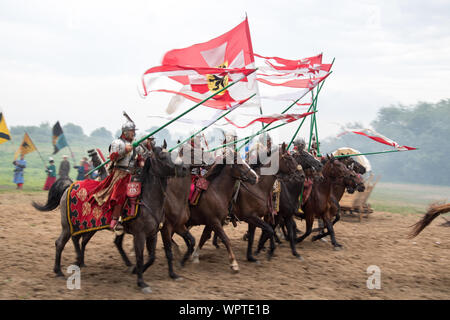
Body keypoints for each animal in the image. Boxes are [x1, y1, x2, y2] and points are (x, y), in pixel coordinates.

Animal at [31, 141, 186, 292]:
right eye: (162, 156)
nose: (184, 168)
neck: (147, 198)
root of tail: (69, 187)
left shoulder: (152, 234)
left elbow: (152, 258)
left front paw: (136, 270)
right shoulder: (139, 235)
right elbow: (140, 257)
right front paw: (142, 283)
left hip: (86, 226)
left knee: (78, 240)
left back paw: (79, 262)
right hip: (68, 226)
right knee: (60, 243)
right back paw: (59, 271)